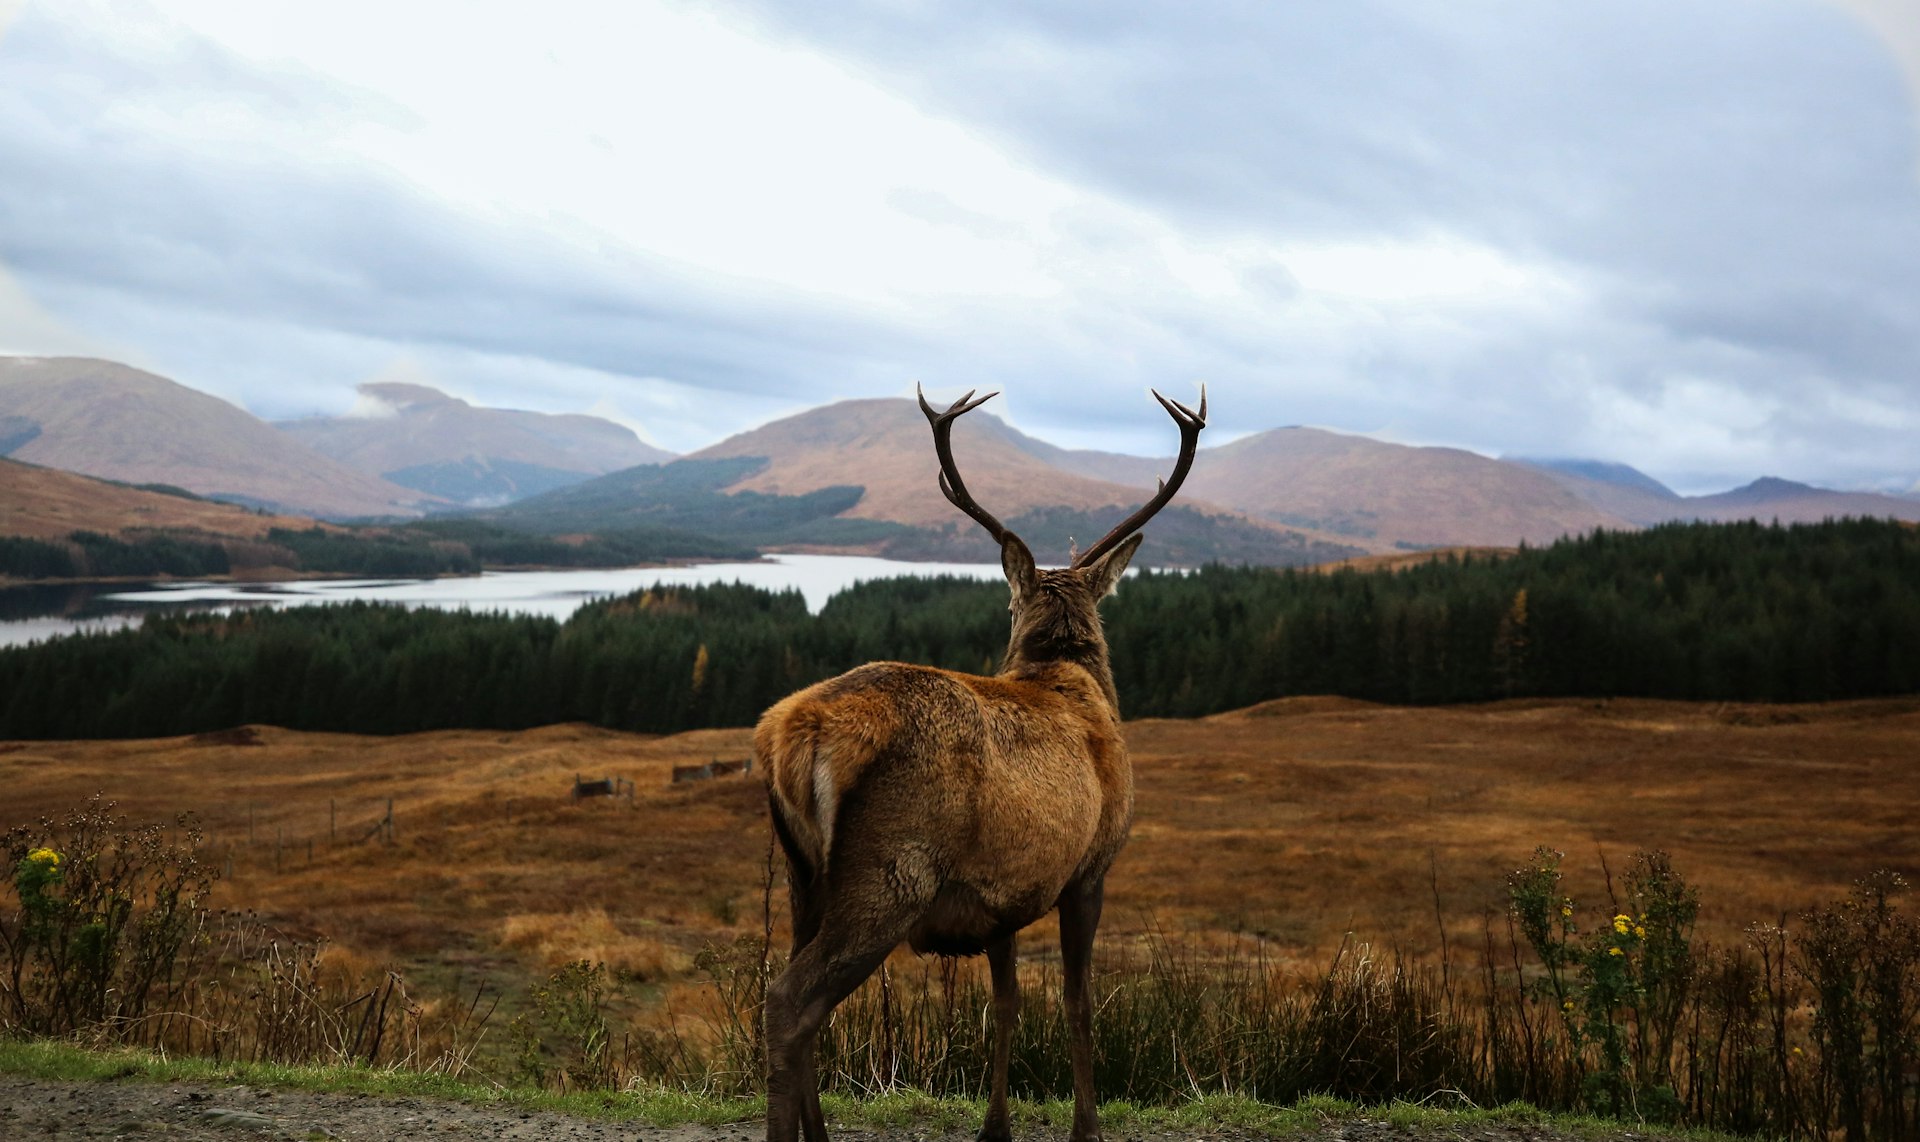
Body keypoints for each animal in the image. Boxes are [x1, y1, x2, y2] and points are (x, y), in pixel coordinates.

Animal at [756, 383, 1205, 1142]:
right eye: (1009, 604)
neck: (1072, 681)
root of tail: (796, 732)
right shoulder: (1090, 868)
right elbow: (1078, 1003)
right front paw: (1087, 1127)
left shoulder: (1000, 897)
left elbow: (1007, 1003)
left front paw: (996, 1126)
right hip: (890, 870)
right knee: (790, 1001)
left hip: (801, 872)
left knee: (798, 994)